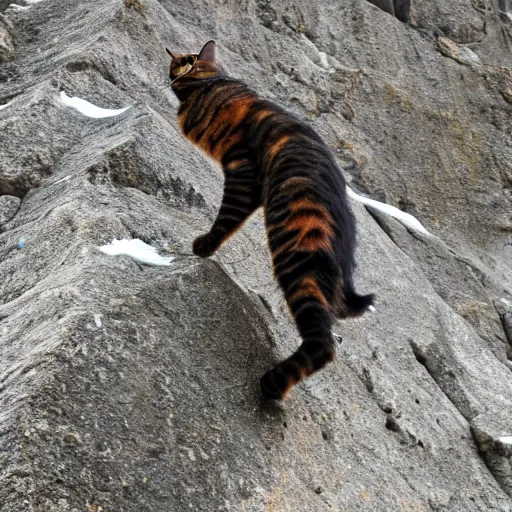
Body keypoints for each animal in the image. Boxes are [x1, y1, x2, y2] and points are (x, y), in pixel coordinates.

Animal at [166, 40, 374, 400]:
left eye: (183, 60)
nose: (173, 67)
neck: (212, 85)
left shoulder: (242, 174)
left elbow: (225, 220)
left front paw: (203, 246)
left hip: (297, 262)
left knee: (323, 344)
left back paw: (272, 385)